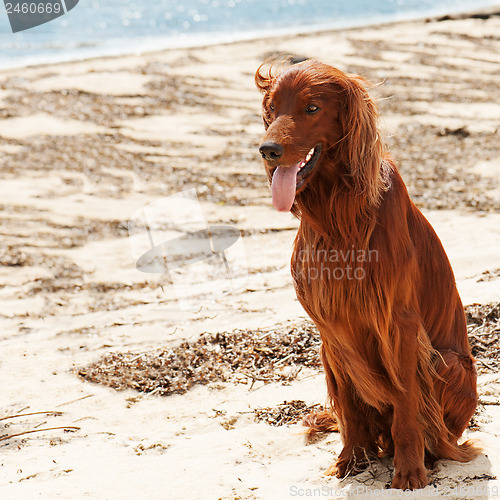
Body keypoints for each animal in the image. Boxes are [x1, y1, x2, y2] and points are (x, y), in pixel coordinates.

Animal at [256, 60, 478, 490]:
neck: (338, 213)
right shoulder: (331, 332)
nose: (268, 151)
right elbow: (350, 404)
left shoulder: (398, 322)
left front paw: (409, 470)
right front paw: (351, 460)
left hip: (449, 362)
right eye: (272, 108)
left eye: (312, 107)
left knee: (441, 432)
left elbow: (407, 400)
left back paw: (431, 453)